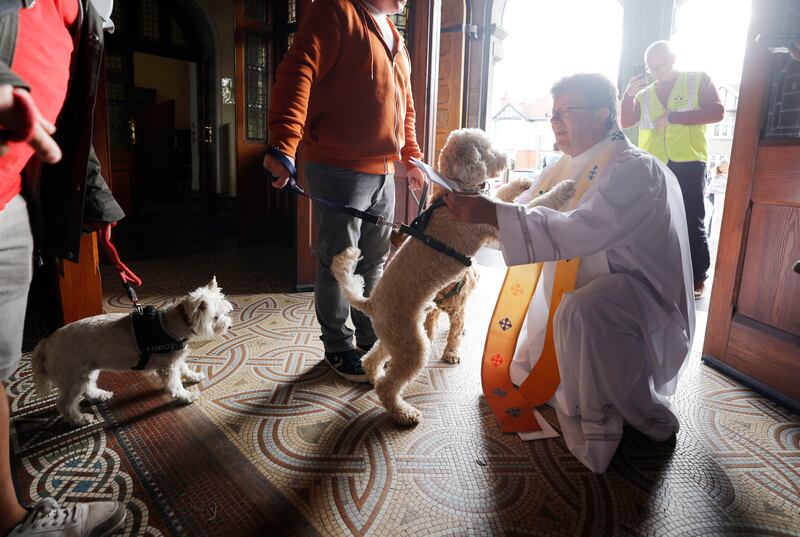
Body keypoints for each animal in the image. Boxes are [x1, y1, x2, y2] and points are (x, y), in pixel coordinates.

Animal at [31, 278, 231, 426]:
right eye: (215, 317)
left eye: (225, 312)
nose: (229, 326)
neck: (174, 323)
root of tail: (46, 343)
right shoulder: (167, 366)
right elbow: (174, 384)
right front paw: (186, 396)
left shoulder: (175, 358)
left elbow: (184, 367)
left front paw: (193, 376)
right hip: (73, 376)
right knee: (64, 403)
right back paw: (80, 418)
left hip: (86, 371)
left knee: (87, 388)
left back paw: (100, 395)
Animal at [332, 127, 576, 426]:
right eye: (487, 150)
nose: (508, 159)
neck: (457, 192)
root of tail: (371, 303)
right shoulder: (492, 227)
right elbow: (533, 206)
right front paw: (564, 188)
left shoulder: (490, 208)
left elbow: (504, 195)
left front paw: (520, 182)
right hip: (413, 345)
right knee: (391, 386)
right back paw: (404, 413)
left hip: (394, 338)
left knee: (372, 359)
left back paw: (375, 376)